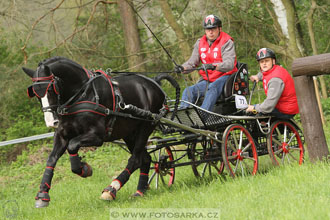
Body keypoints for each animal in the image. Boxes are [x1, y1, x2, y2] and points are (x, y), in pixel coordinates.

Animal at [22, 56, 180, 208]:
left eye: (50, 89)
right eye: (35, 94)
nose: (51, 122)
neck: (82, 94)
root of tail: (154, 83)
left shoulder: (97, 136)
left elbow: (72, 145)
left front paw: (83, 169)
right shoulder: (62, 135)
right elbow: (52, 158)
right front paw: (42, 195)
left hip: (145, 127)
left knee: (135, 159)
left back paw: (112, 189)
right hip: (129, 133)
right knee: (145, 159)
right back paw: (140, 191)